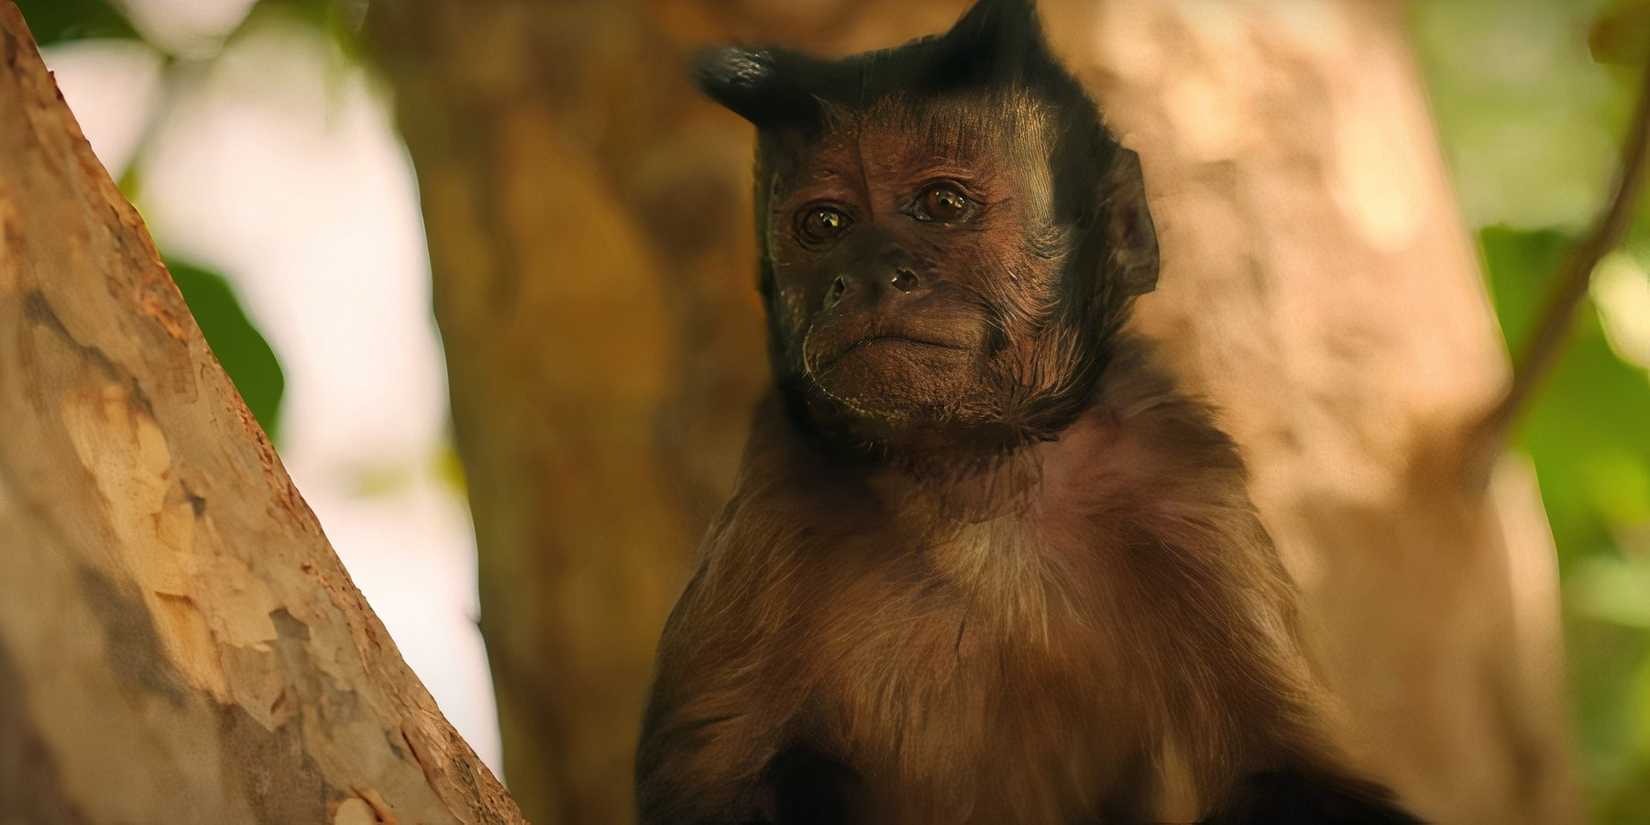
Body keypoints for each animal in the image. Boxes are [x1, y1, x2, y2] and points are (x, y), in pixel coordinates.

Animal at [635, 1, 1428, 823]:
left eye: (943, 205)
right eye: (824, 225)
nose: (865, 274)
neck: (973, 468)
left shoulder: (1180, 479)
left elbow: (1294, 775)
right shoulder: (779, 498)